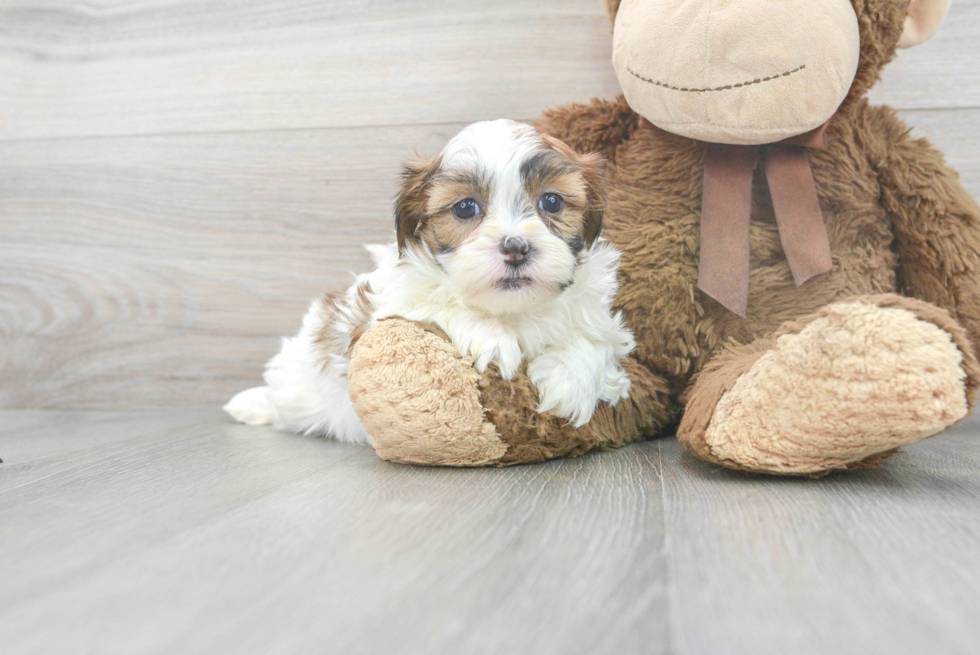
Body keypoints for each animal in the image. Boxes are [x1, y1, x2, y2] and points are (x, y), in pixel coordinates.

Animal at [224, 120, 636, 444]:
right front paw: (491, 337)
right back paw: (254, 404)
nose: (516, 247)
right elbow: (436, 304)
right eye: (465, 208)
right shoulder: (386, 308)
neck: (512, 312)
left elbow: (595, 342)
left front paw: (570, 381)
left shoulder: (600, 321)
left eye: (551, 202)